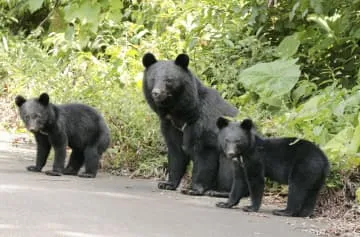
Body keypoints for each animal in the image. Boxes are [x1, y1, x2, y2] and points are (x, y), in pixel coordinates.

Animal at [142, 52, 238, 195]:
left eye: (169, 80)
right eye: (153, 79)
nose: (156, 93)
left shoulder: (203, 122)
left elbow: (205, 153)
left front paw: (193, 189)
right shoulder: (170, 125)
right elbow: (175, 151)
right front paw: (167, 184)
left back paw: (220, 192)